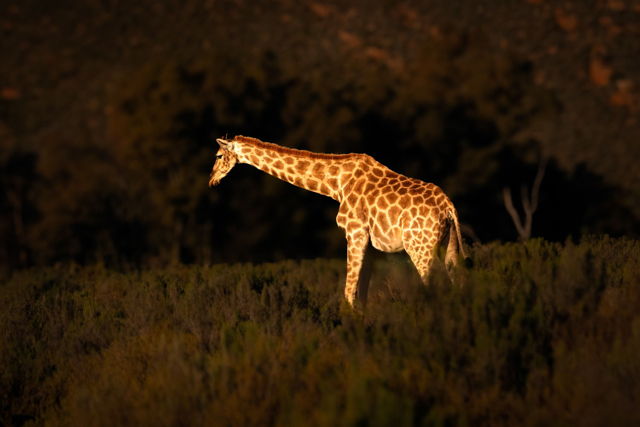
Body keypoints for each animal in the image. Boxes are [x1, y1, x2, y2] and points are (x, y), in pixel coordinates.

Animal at [209, 135, 467, 307]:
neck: (336, 185)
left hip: (419, 246)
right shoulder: (369, 243)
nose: (212, 180)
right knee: (456, 282)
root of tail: (448, 207)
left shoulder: (354, 232)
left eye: (219, 155)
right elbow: (361, 293)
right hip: (449, 244)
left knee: (431, 286)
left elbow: (348, 291)